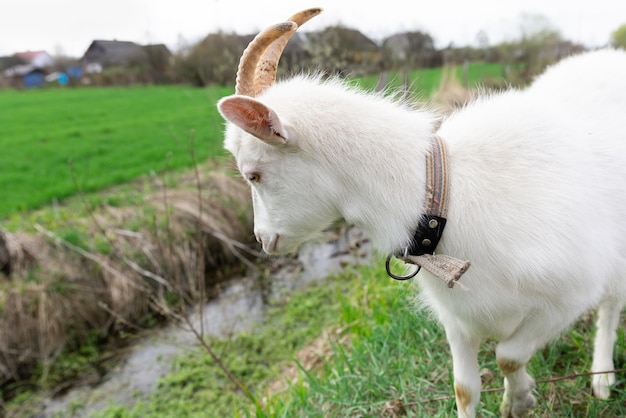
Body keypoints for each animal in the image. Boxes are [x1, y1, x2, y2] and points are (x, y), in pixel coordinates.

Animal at [217, 7, 624, 418]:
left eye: (253, 174)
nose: (263, 239)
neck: (446, 195)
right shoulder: (457, 315)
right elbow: (465, 389)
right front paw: (515, 397)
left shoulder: (568, 296)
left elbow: (508, 355)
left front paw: (519, 398)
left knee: (611, 306)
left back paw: (602, 377)